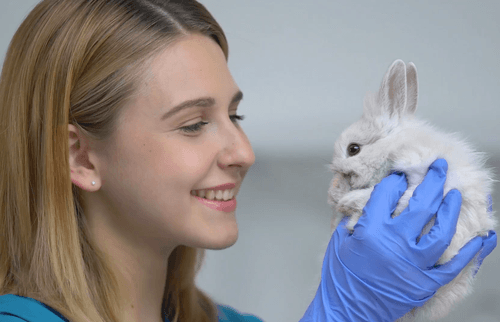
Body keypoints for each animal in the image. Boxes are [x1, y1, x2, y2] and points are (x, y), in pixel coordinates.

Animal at [328, 59, 496, 320]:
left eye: (353, 149)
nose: (333, 193)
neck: (393, 147)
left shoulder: (426, 172)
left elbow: (402, 197)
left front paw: (351, 201)